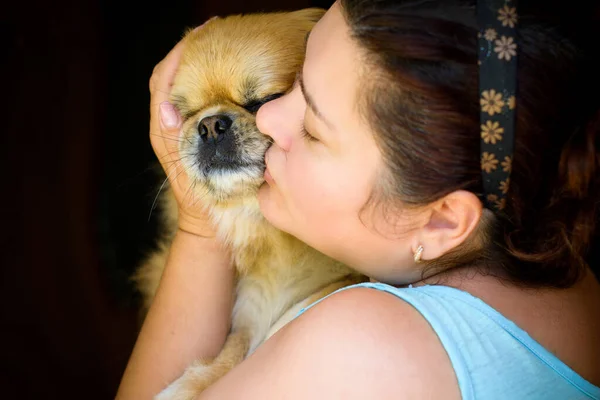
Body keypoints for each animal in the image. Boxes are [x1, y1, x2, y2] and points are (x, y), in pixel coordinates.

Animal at [134, 10, 368, 400]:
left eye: (264, 101)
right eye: (187, 113)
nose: (210, 124)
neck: (275, 235)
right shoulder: (251, 303)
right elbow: (238, 343)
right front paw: (194, 382)